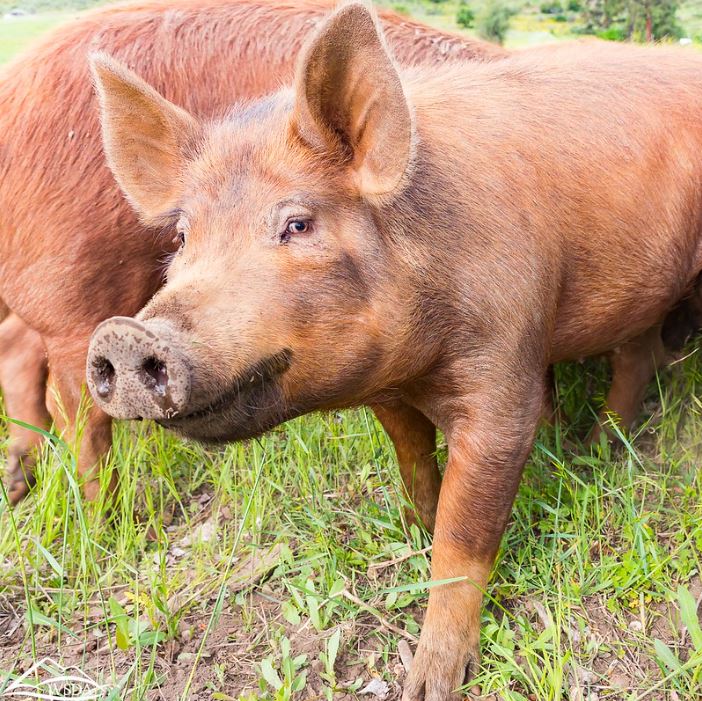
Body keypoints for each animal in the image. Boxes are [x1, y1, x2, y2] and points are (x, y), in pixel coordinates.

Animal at [0, 0, 506, 504]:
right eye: (181, 235)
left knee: (19, 351)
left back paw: (20, 483)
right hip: (74, 280)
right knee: (74, 406)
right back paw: (107, 511)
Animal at [86, 4, 702, 696]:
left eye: (298, 224)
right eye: (185, 235)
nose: (123, 334)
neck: (418, 368)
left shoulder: (504, 369)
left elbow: (465, 533)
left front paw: (431, 681)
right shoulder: (385, 388)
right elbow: (411, 457)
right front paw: (412, 527)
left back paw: (596, 451)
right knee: (638, 353)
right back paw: (596, 446)